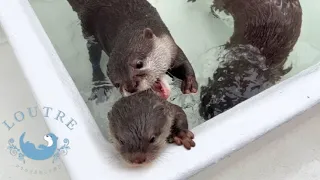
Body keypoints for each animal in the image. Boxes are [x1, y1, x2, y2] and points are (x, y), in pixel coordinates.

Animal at [66, 0, 198, 101]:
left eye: (139, 64)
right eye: (117, 83)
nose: (130, 87)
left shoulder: (171, 47)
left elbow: (183, 63)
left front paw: (189, 84)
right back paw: (99, 88)